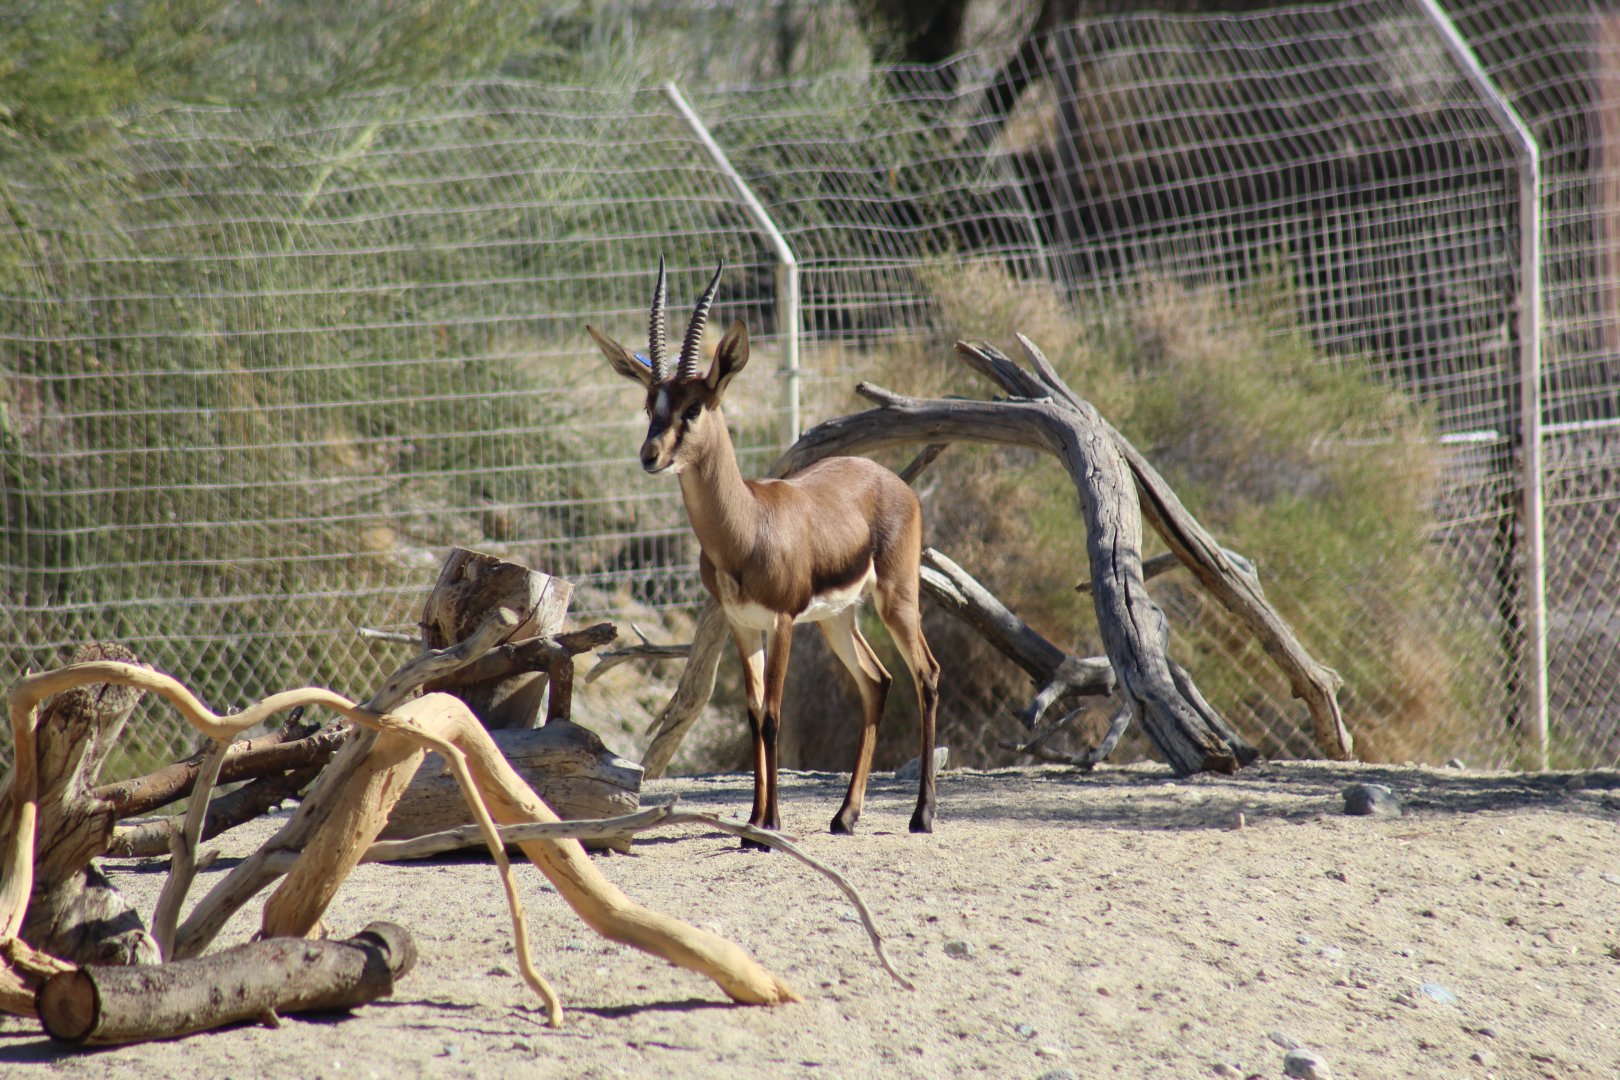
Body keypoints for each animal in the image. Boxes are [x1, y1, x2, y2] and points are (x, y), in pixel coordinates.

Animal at [588, 258, 941, 840]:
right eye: (649, 404)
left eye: (694, 407)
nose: (650, 454)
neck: (748, 528)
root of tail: (895, 482)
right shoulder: (742, 624)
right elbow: (754, 714)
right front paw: (753, 824)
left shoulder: (780, 621)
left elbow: (774, 716)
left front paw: (771, 825)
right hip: (837, 618)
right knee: (877, 681)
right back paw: (845, 816)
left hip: (896, 600)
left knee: (925, 675)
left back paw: (922, 815)